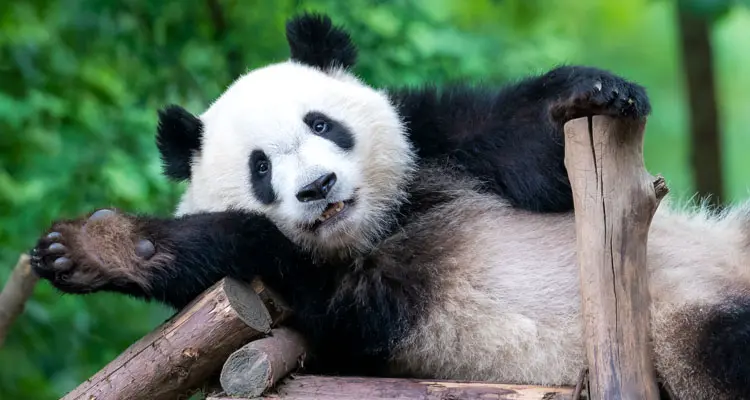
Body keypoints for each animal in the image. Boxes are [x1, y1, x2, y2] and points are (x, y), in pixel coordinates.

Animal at [29, 13, 750, 400]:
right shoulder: (353, 314)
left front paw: (593, 92)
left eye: (322, 124)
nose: (317, 188)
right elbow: (275, 259)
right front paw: (100, 250)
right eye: (261, 168)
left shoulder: (437, 140)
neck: (381, 225)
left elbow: (529, 148)